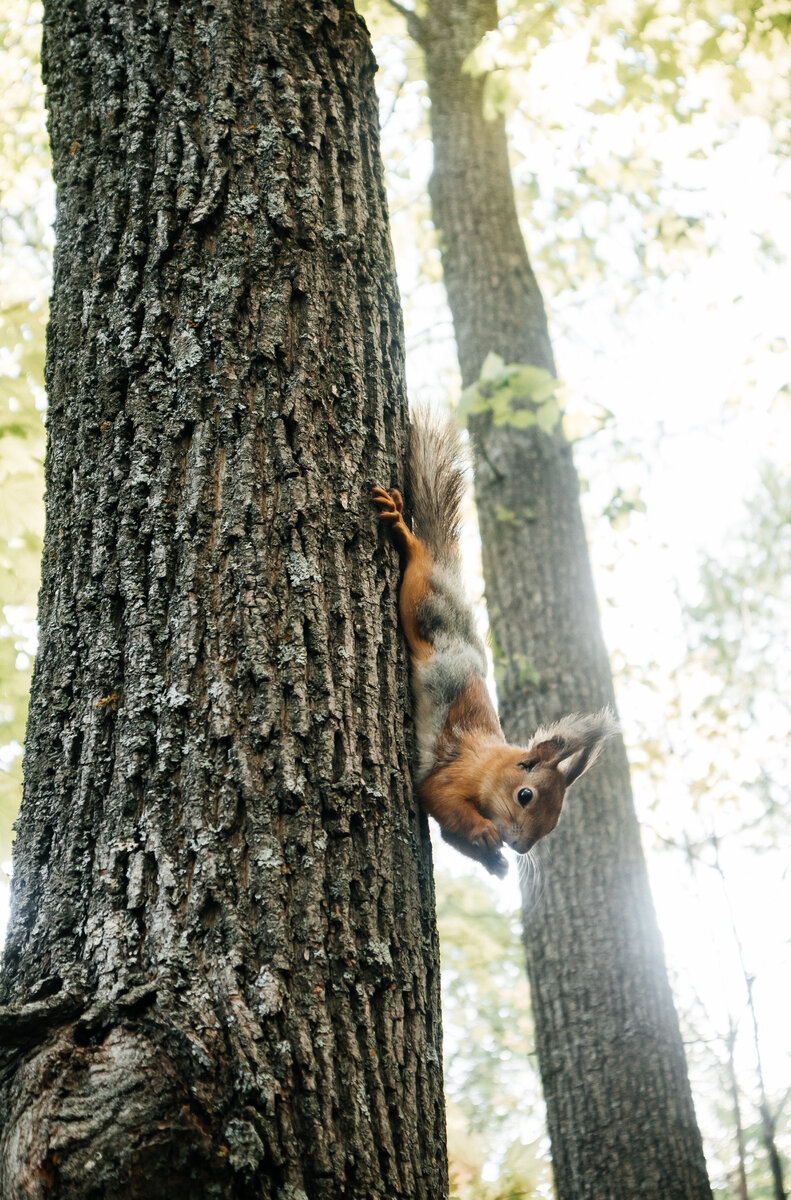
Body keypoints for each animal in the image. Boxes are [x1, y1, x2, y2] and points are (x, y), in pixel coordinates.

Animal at [376, 408, 619, 878]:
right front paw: (487, 837)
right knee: (419, 559)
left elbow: (453, 834)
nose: (520, 847)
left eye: (554, 822)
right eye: (525, 795)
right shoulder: (454, 774)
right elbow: (440, 798)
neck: (492, 765)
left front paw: (494, 861)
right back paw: (401, 527)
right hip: (422, 597)